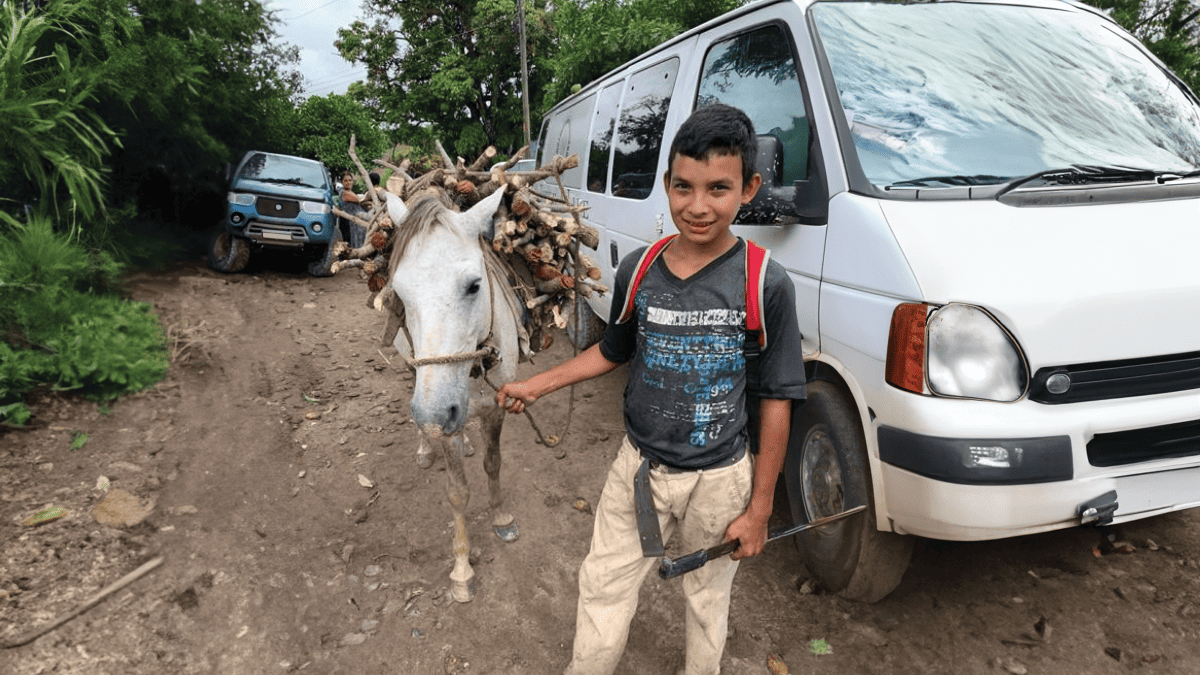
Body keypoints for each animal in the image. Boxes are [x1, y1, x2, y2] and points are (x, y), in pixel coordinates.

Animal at [376, 184, 523, 598]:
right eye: (398, 292)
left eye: (474, 285)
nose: (435, 414)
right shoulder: (439, 412)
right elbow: (457, 491)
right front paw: (461, 569)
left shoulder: (497, 407)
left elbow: (493, 463)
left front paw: (501, 518)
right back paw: (426, 447)